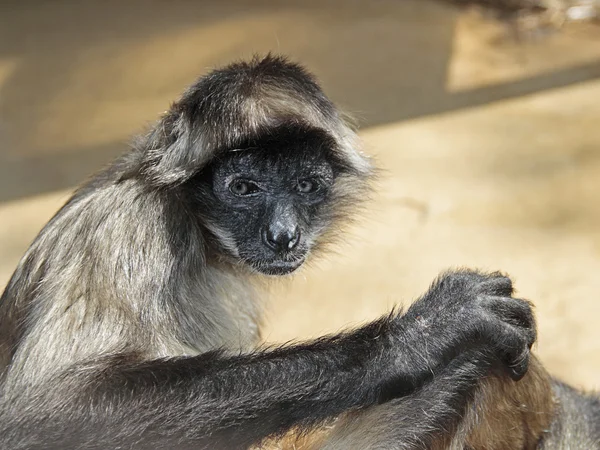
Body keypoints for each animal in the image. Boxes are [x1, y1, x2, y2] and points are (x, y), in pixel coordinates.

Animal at [0, 54, 540, 448]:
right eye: (244, 188)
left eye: (305, 185)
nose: (283, 235)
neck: (199, 237)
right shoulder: (128, 220)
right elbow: (47, 412)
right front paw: (421, 336)